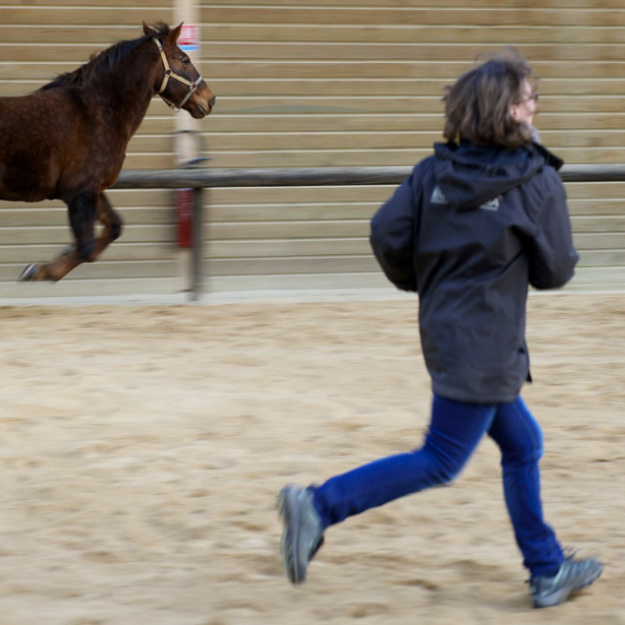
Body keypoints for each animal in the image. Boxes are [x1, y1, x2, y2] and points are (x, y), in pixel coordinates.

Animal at [0, 21, 214, 280]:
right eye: (184, 60)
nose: (210, 99)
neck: (94, 110)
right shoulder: (80, 192)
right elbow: (86, 249)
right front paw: (39, 270)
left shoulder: (93, 188)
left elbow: (114, 227)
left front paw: (50, 261)